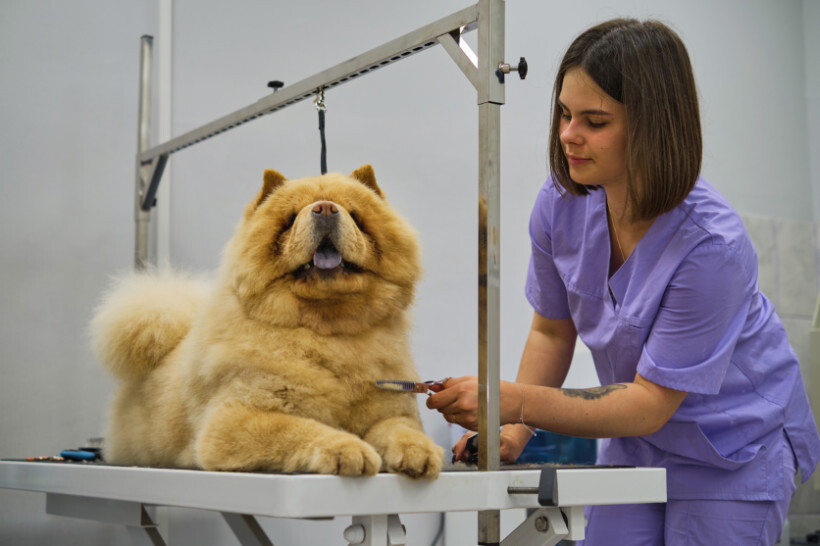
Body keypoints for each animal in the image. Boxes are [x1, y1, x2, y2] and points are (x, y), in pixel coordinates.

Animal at [91, 165, 442, 476]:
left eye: (355, 215)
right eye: (291, 218)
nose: (326, 208)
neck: (329, 329)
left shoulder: (391, 408)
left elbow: (399, 429)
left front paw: (420, 451)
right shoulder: (235, 420)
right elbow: (302, 428)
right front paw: (348, 449)